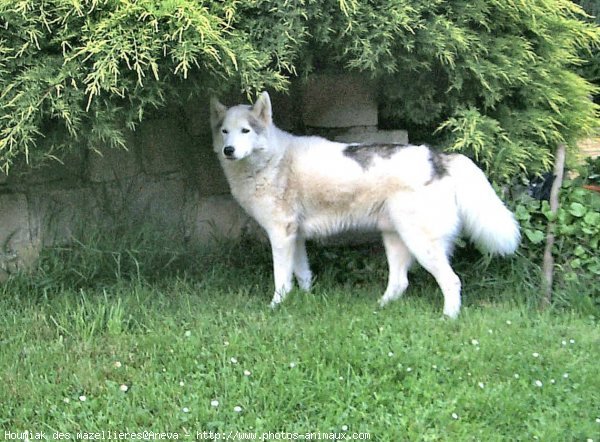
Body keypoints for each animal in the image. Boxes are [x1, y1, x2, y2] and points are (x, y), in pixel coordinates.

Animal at [211, 90, 520, 318]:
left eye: (246, 131)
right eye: (225, 131)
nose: (229, 150)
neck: (270, 160)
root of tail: (439, 157)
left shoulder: (280, 235)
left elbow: (281, 278)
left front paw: (276, 306)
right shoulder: (294, 237)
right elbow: (302, 275)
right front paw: (305, 300)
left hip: (421, 243)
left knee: (451, 280)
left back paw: (448, 318)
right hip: (395, 238)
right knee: (400, 282)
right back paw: (379, 309)